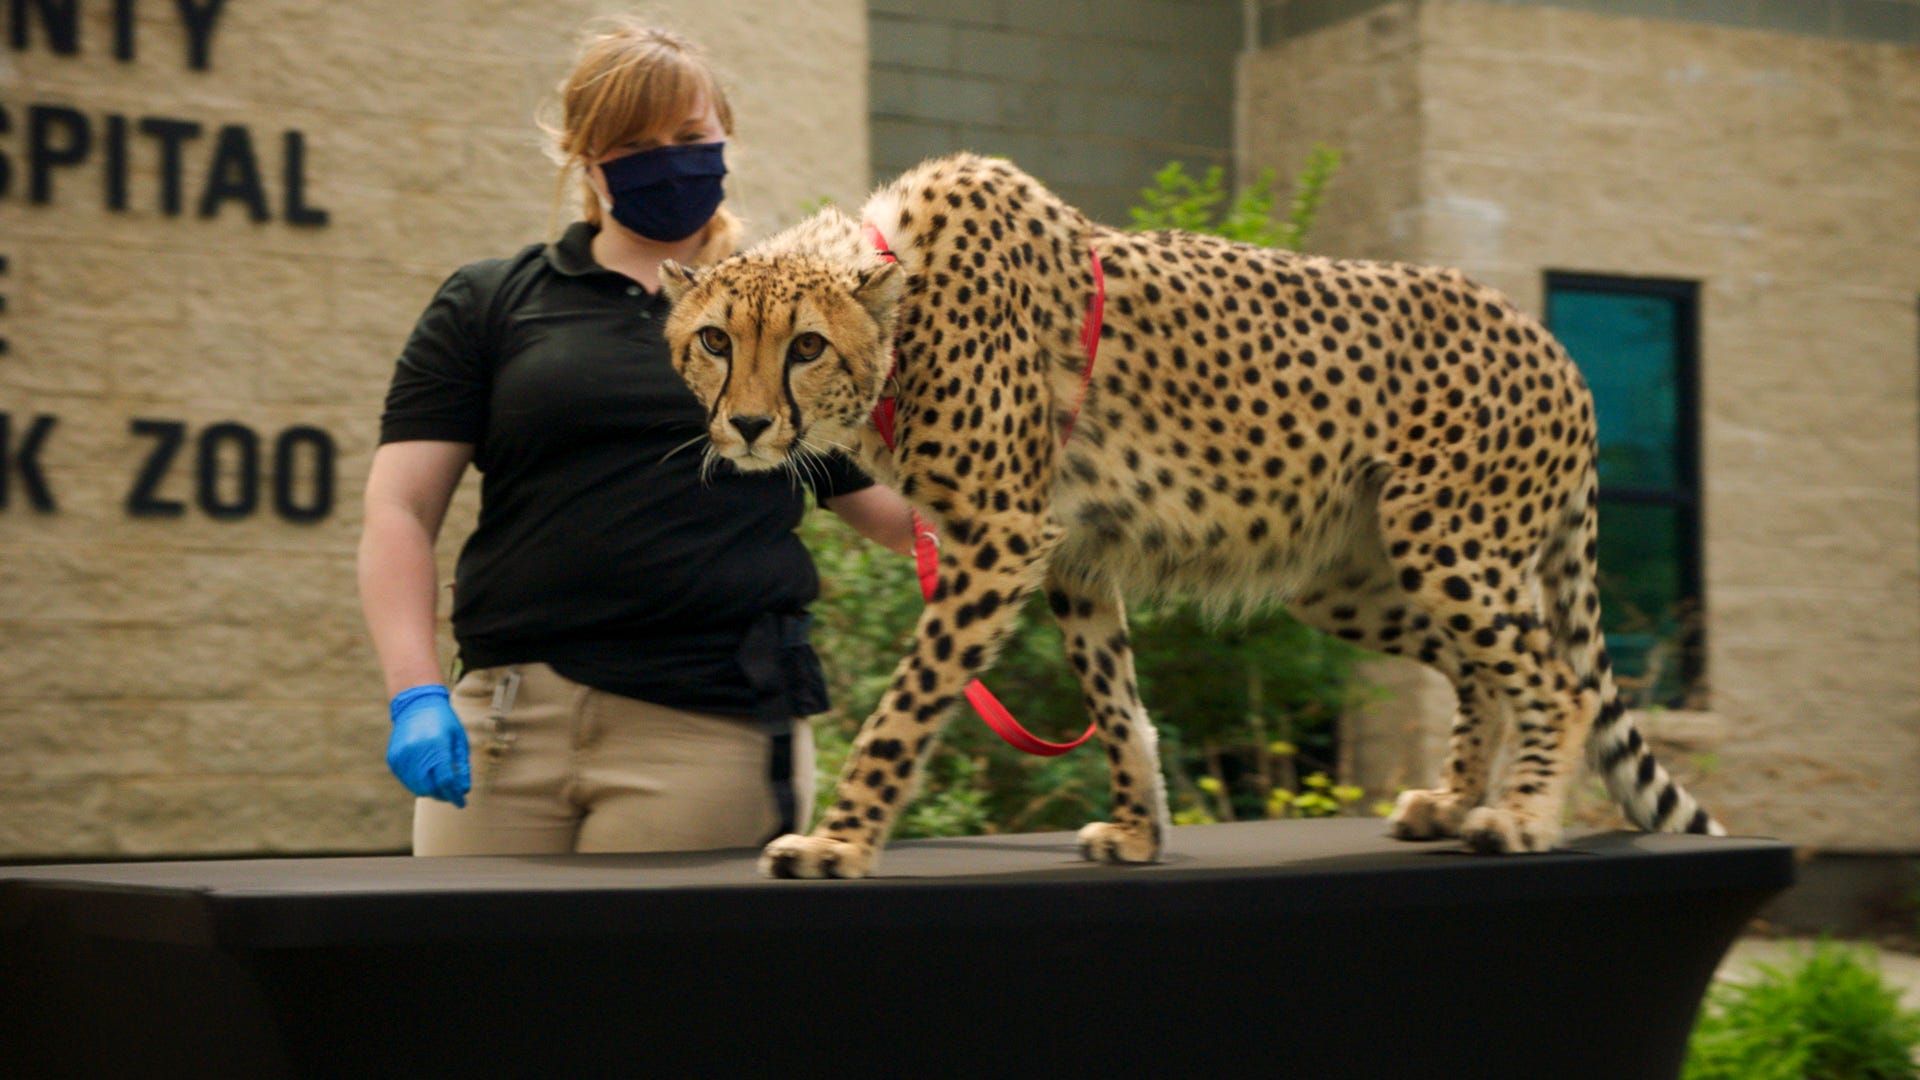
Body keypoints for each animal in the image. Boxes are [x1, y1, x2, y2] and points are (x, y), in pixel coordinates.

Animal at [664, 151, 1728, 876]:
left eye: (805, 346)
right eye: (714, 340)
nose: (749, 425)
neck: (900, 315)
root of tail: (1550, 341)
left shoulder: (999, 540)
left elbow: (904, 707)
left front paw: (839, 842)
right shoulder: (1071, 553)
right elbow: (1117, 703)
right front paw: (1141, 827)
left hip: (1449, 545)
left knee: (1557, 677)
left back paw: (1522, 815)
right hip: (1348, 575)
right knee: (1483, 668)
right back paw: (1455, 799)